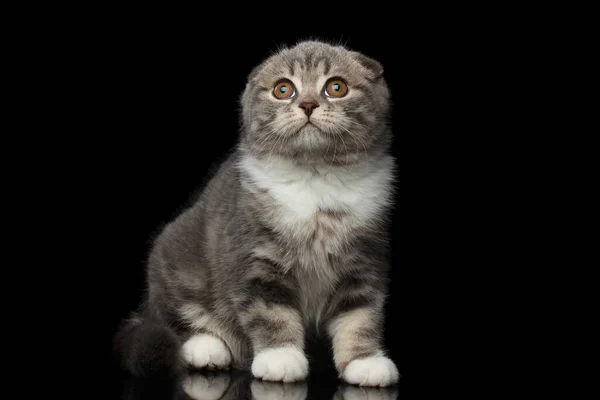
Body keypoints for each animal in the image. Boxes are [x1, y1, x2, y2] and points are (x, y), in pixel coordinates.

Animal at [115, 40, 400, 388]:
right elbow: (270, 312)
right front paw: (280, 358)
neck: (315, 177)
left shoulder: (364, 261)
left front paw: (365, 361)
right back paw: (206, 347)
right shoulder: (255, 256)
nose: (307, 104)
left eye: (336, 87)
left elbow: (360, 315)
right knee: (175, 316)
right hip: (175, 260)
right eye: (283, 89)